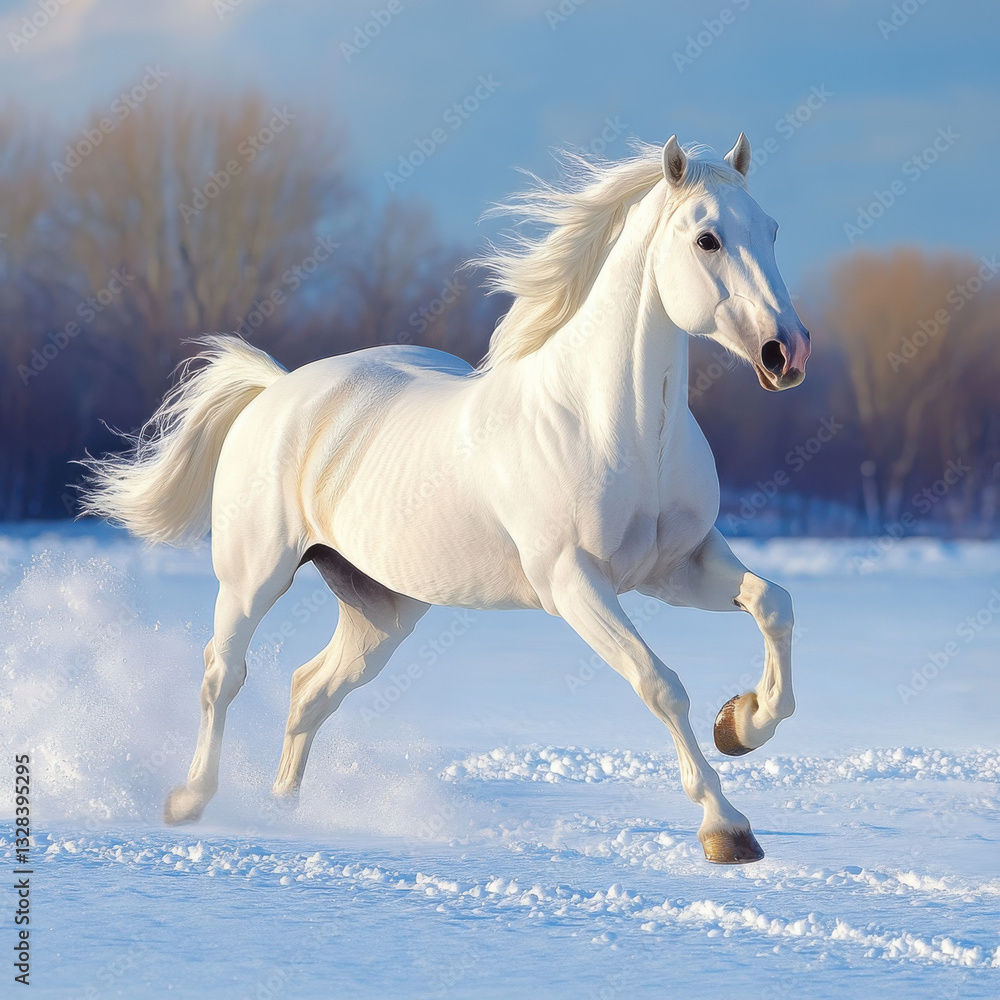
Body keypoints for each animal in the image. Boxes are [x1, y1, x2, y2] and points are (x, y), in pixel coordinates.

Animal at [82, 133, 810, 864]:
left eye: (774, 229)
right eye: (707, 239)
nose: (787, 353)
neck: (617, 427)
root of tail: (278, 388)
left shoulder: (677, 565)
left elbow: (773, 603)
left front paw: (742, 723)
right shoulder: (574, 582)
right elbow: (660, 683)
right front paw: (727, 827)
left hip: (382, 609)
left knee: (310, 689)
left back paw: (282, 811)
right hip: (252, 576)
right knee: (223, 674)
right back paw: (189, 802)